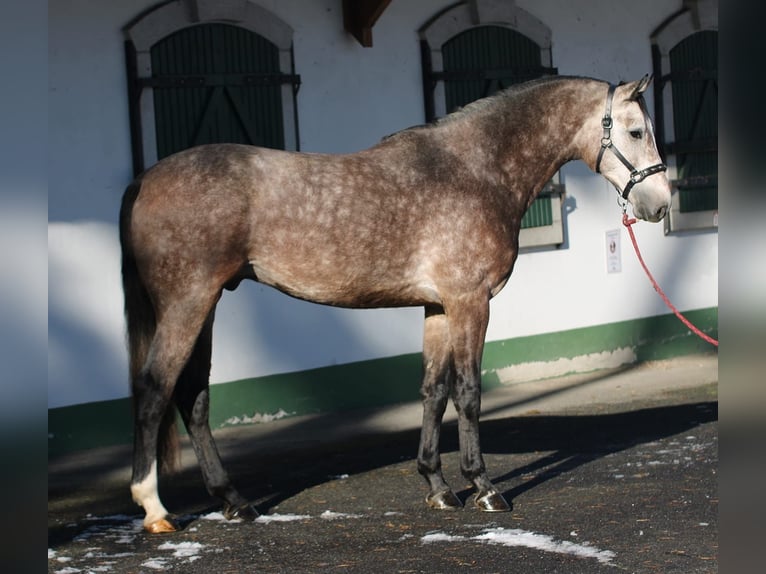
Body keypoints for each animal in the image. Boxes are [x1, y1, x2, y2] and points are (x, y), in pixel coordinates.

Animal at [121, 76, 672, 536]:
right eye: (635, 130)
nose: (661, 204)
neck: (475, 170)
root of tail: (145, 178)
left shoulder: (438, 307)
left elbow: (433, 391)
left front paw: (438, 487)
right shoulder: (469, 301)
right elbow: (468, 392)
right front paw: (484, 488)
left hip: (208, 303)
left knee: (193, 397)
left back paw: (234, 501)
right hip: (189, 302)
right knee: (155, 390)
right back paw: (154, 509)